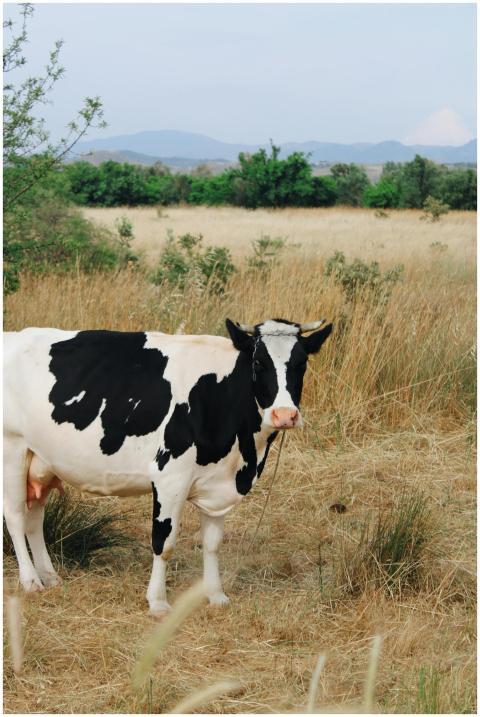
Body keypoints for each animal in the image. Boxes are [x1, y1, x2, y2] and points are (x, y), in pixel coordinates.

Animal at [4, 318, 332, 614]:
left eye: (301, 363)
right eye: (258, 364)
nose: (285, 415)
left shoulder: (218, 483)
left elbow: (212, 543)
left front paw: (216, 595)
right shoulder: (170, 476)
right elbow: (165, 541)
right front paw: (158, 602)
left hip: (41, 460)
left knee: (34, 519)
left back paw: (50, 577)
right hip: (12, 449)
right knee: (16, 516)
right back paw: (30, 581)